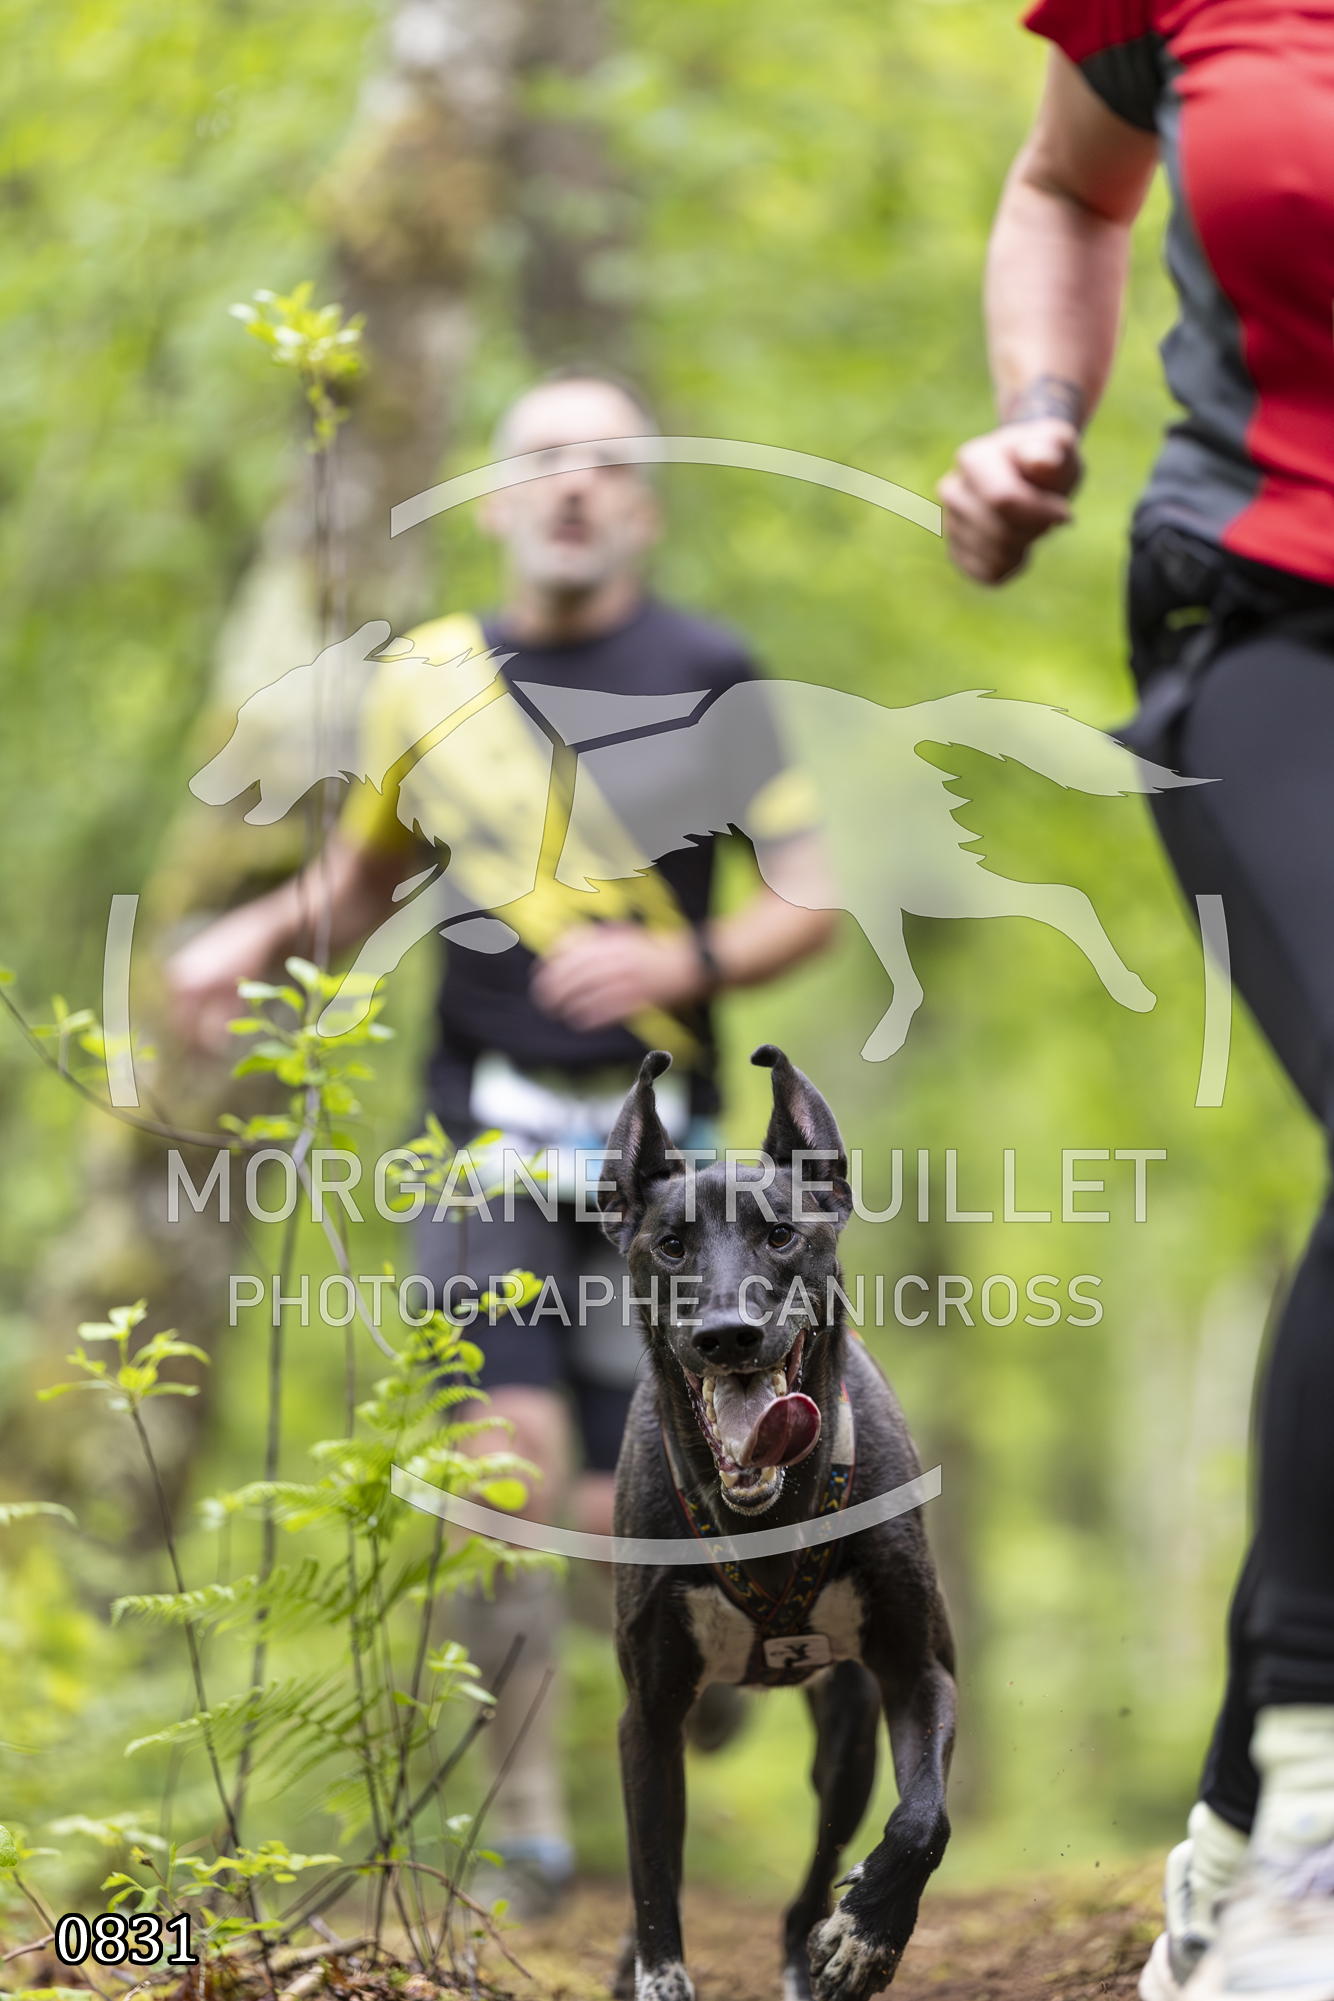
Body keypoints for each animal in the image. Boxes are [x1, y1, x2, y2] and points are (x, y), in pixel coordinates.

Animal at [599, 1044, 956, 2001]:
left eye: (782, 1234)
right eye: (672, 1244)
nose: (729, 1334)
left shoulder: (918, 1668)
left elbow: (925, 1818)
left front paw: (868, 1932)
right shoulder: (650, 1716)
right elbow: (653, 1885)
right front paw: (654, 1974)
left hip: (847, 1733)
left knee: (822, 1859)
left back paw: (817, 1941)